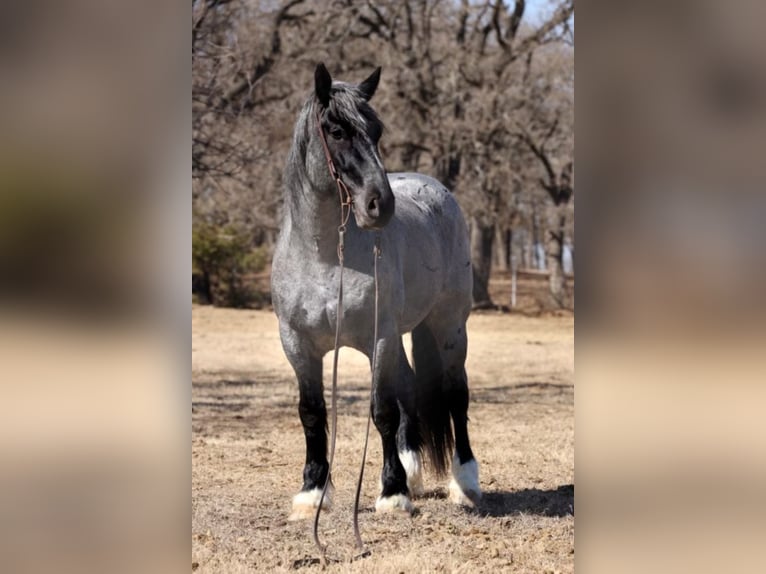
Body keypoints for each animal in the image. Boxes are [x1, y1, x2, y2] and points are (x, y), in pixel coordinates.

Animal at [272, 64, 484, 520]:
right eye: (336, 131)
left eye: (377, 130)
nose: (380, 205)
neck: (326, 258)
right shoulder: (297, 344)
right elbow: (312, 413)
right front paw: (312, 491)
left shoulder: (378, 338)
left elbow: (382, 410)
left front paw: (392, 493)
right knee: (408, 387)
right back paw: (411, 469)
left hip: (449, 327)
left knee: (455, 395)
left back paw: (465, 483)